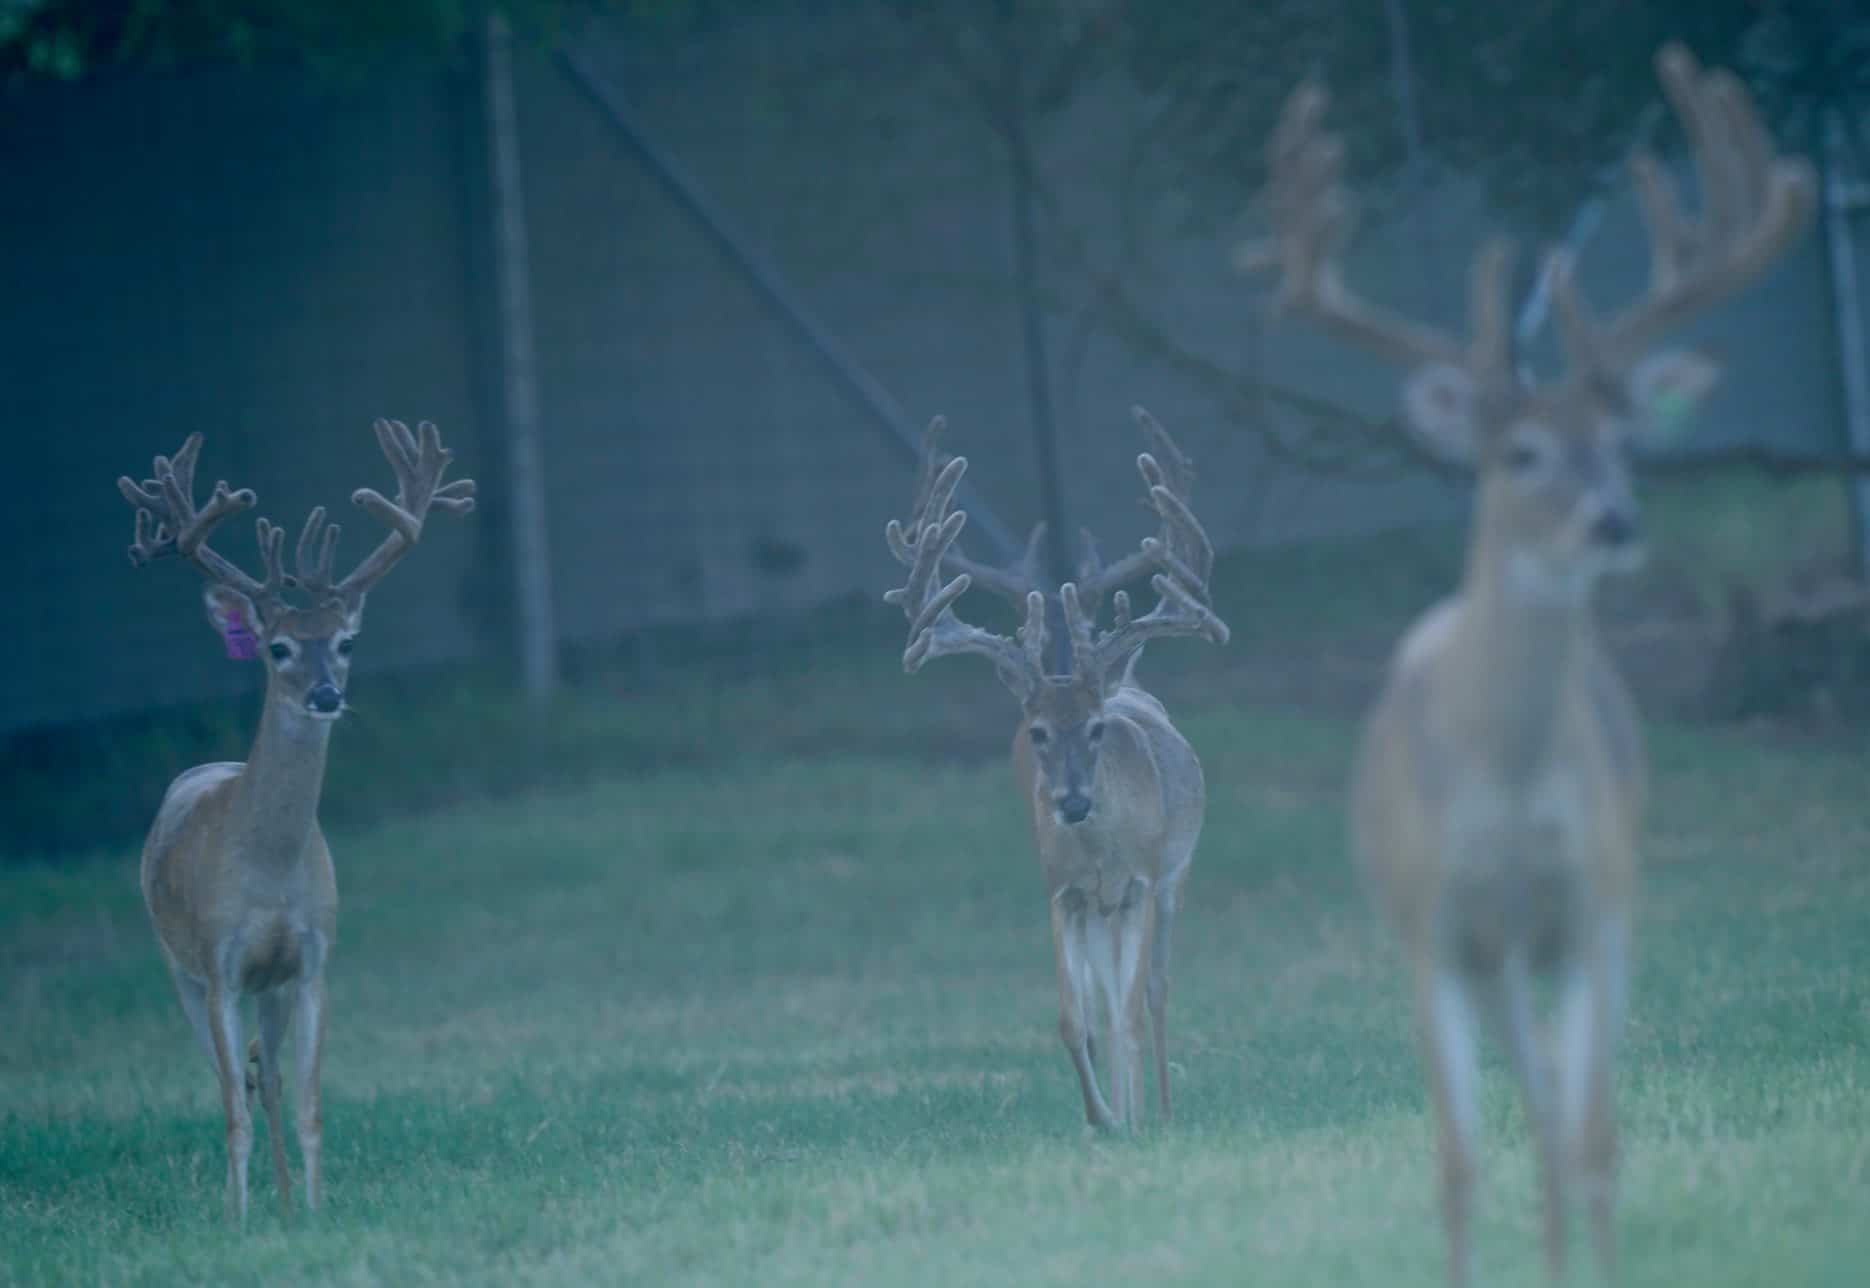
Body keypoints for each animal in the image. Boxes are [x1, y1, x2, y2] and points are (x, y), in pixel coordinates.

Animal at [117, 420, 475, 1225]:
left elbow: (309, 1102)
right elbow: (232, 1110)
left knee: (269, 1074)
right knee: (235, 1082)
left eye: (346, 641)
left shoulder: (311, 961)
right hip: (177, 969)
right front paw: (238, 1221)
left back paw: (284, 1202)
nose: (325, 695)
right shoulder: (219, 964)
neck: (268, 872)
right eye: (277, 646)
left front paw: (311, 1212)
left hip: (270, 986)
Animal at [885, 407, 1230, 1129]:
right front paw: (1101, 1119)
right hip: (1103, 911)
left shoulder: (1139, 882)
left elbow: (1128, 1011)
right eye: (1038, 730)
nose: (1071, 802)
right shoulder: (1061, 892)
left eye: (1096, 728)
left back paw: (1160, 1109)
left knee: (1155, 990)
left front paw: (1132, 1118)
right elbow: (1076, 1021)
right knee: (1108, 999)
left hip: (1172, 880)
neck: (1100, 851)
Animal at [1235, 44, 1815, 1285]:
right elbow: (1458, 1165)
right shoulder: (1432, 928)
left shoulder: (1596, 902)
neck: (1499, 783)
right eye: (1520, 451)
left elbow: (1595, 1139)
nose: (1614, 519)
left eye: (1624, 441)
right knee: (1533, 1114)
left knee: (1558, 1121)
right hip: (1489, 955)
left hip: (1567, 931)